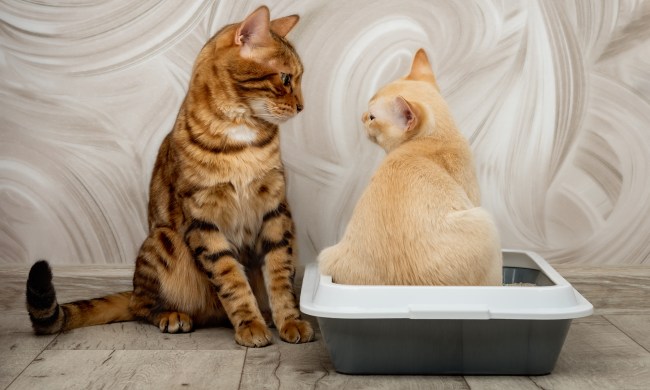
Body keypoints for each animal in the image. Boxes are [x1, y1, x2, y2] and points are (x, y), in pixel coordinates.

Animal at [26, 6, 316, 348]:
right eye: (285, 78)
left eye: (299, 78)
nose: (302, 106)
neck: (240, 135)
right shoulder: (202, 219)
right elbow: (231, 278)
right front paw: (249, 324)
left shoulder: (275, 211)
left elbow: (280, 275)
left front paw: (289, 321)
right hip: (165, 240)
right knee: (141, 305)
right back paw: (172, 315)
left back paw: (267, 314)